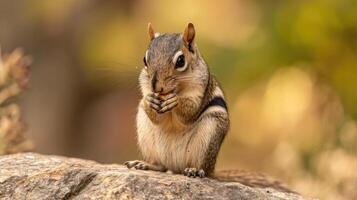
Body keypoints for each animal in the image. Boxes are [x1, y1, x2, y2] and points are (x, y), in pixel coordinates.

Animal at [124, 22, 229, 177]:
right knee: (161, 166)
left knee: (201, 167)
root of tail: (175, 167)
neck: (176, 89)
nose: (156, 87)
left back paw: (195, 170)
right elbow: (155, 117)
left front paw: (176, 101)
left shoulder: (201, 88)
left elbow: (190, 113)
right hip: (146, 134)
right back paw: (145, 164)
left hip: (209, 135)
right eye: (144, 59)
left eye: (180, 61)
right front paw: (148, 100)